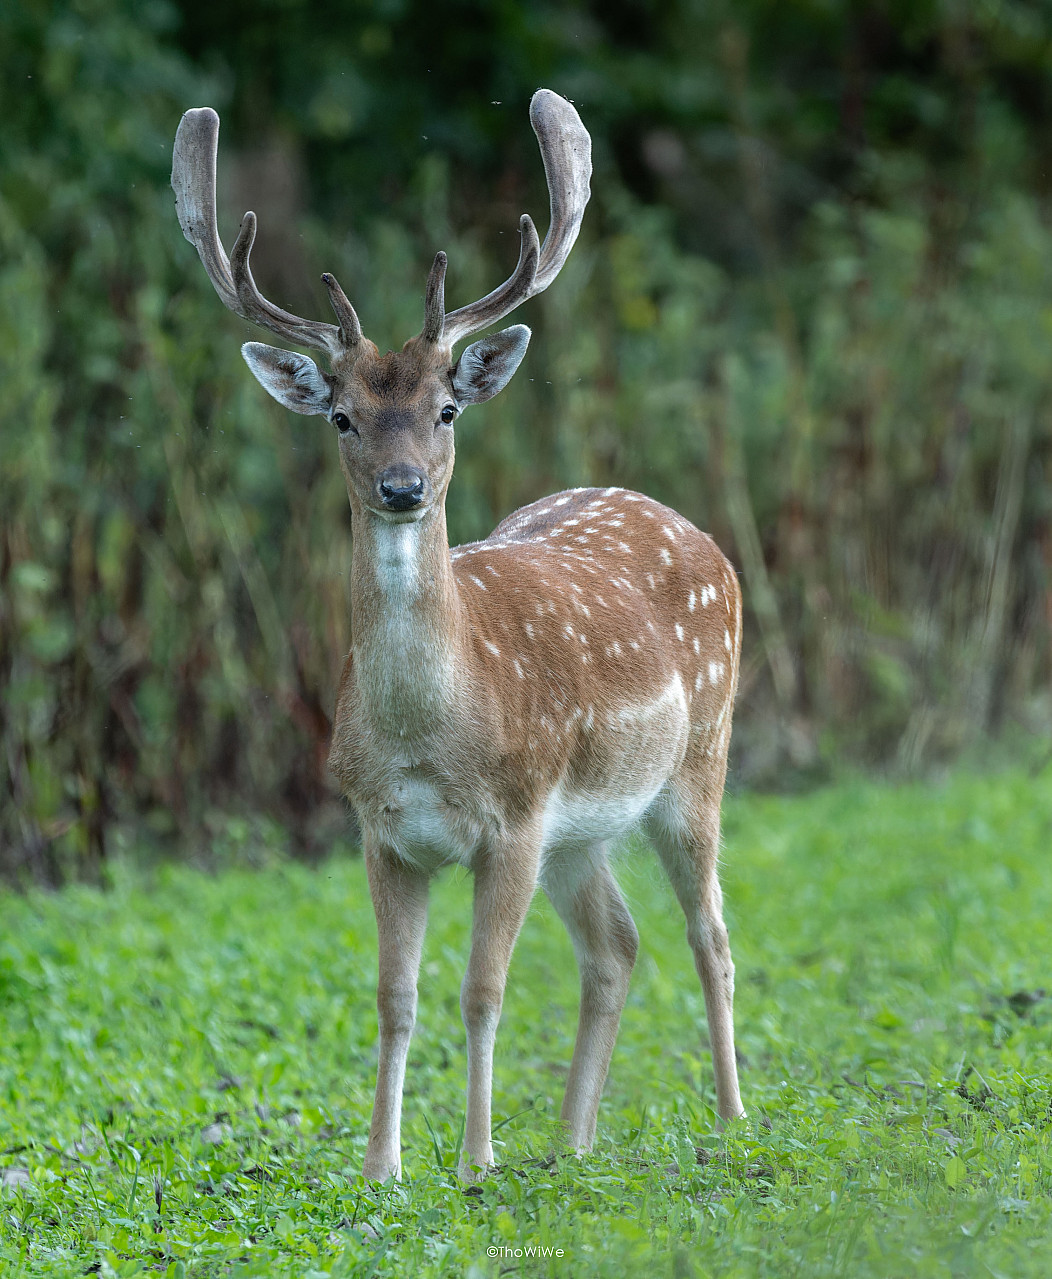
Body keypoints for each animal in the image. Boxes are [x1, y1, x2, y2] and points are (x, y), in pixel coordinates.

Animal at [172, 89, 745, 1183]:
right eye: (343, 417)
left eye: (444, 409)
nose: (402, 487)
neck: (432, 734)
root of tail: (699, 534)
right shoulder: (380, 829)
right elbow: (394, 997)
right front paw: (382, 1165)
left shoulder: (513, 818)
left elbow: (483, 991)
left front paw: (476, 1156)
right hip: (584, 829)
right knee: (616, 945)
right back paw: (572, 1140)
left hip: (698, 756)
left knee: (709, 932)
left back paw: (734, 1120)